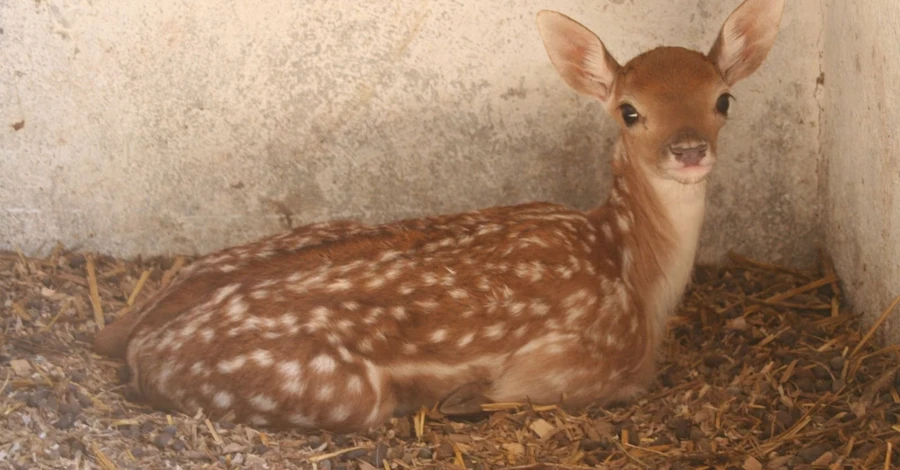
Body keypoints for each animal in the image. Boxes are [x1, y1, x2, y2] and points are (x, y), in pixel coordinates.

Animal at [89, 0, 780, 436]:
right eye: (630, 111)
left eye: (724, 99)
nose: (688, 150)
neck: (636, 279)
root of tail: (137, 339)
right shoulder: (566, 366)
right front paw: (465, 395)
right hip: (337, 389)